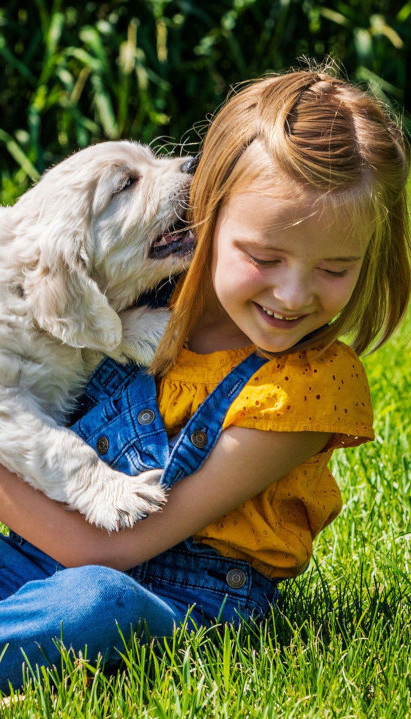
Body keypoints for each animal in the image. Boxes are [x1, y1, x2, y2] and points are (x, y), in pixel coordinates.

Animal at [0, 142, 196, 528]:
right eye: (126, 184)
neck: (24, 298)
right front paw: (119, 495)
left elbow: (102, 330)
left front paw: (157, 330)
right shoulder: (6, 404)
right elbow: (61, 449)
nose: (193, 164)